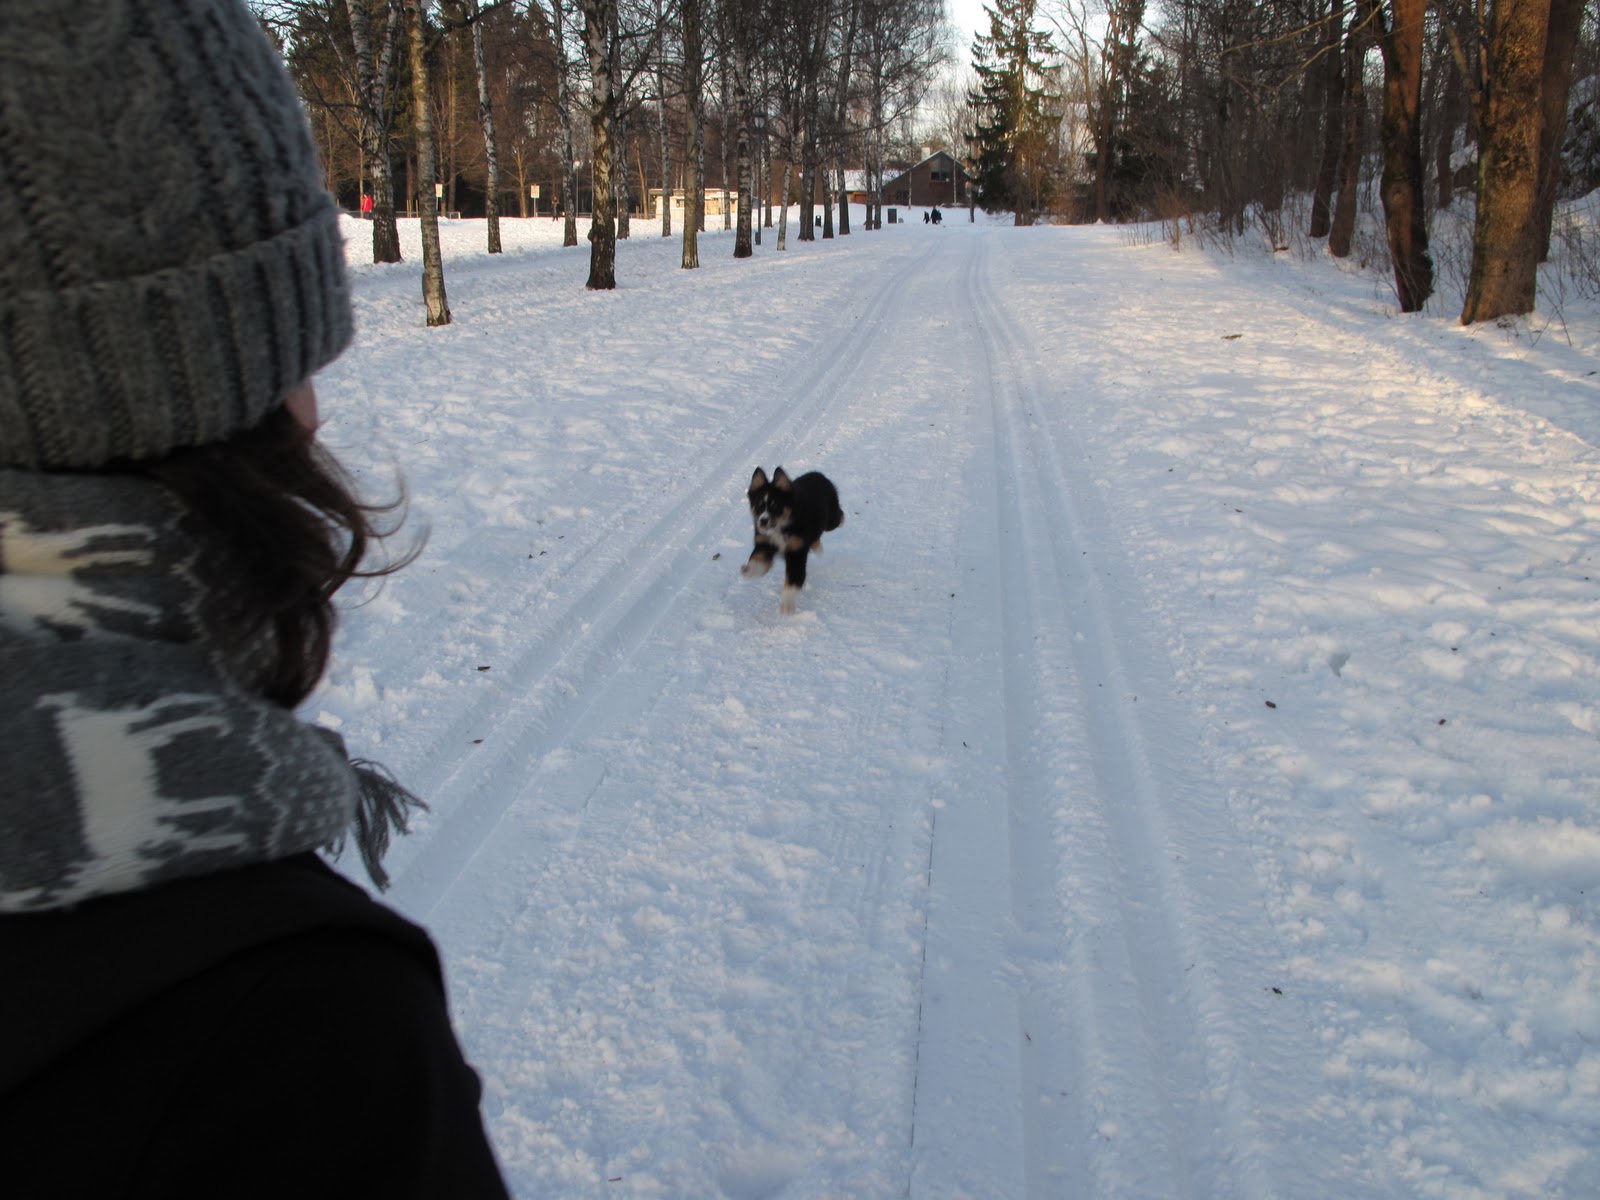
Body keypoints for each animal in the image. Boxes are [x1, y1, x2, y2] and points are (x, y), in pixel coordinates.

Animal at [739, 467, 844, 614]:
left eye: (775, 506)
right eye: (759, 506)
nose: (763, 521)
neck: (780, 529)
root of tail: (818, 474)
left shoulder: (796, 552)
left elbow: (793, 580)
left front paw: (787, 604)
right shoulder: (764, 544)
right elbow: (757, 561)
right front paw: (749, 571)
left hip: (831, 520)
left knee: (841, 517)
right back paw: (817, 546)